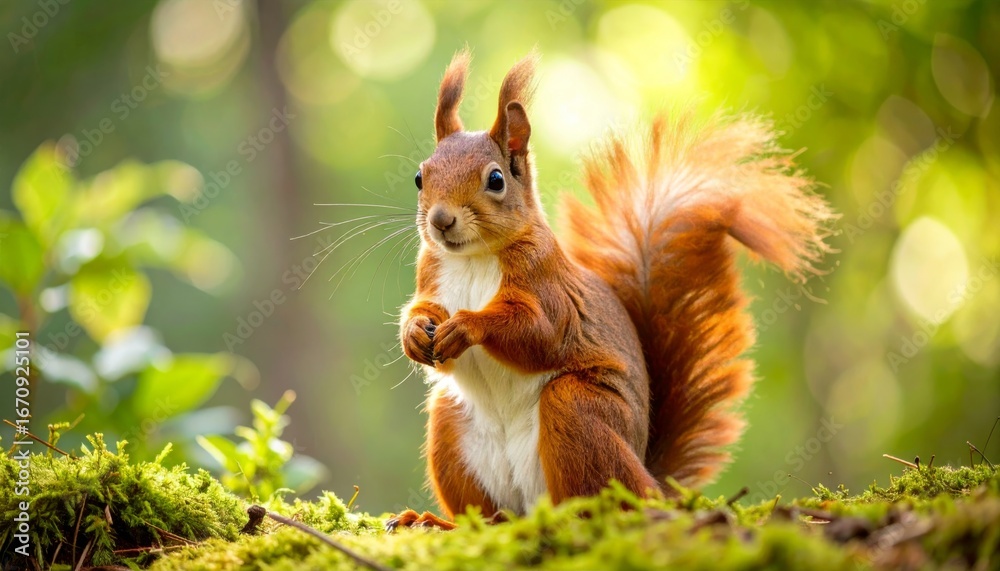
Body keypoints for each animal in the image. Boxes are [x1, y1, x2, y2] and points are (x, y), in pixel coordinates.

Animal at [387, 51, 834, 531]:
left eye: (496, 180)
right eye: (420, 177)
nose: (441, 220)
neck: (474, 257)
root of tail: (650, 480)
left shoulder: (549, 288)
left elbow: (539, 334)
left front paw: (468, 325)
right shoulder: (432, 277)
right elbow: (424, 312)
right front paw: (415, 333)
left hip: (579, 410)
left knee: (596, 498)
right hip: (452, 424)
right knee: (493, 516)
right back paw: (441, 522)